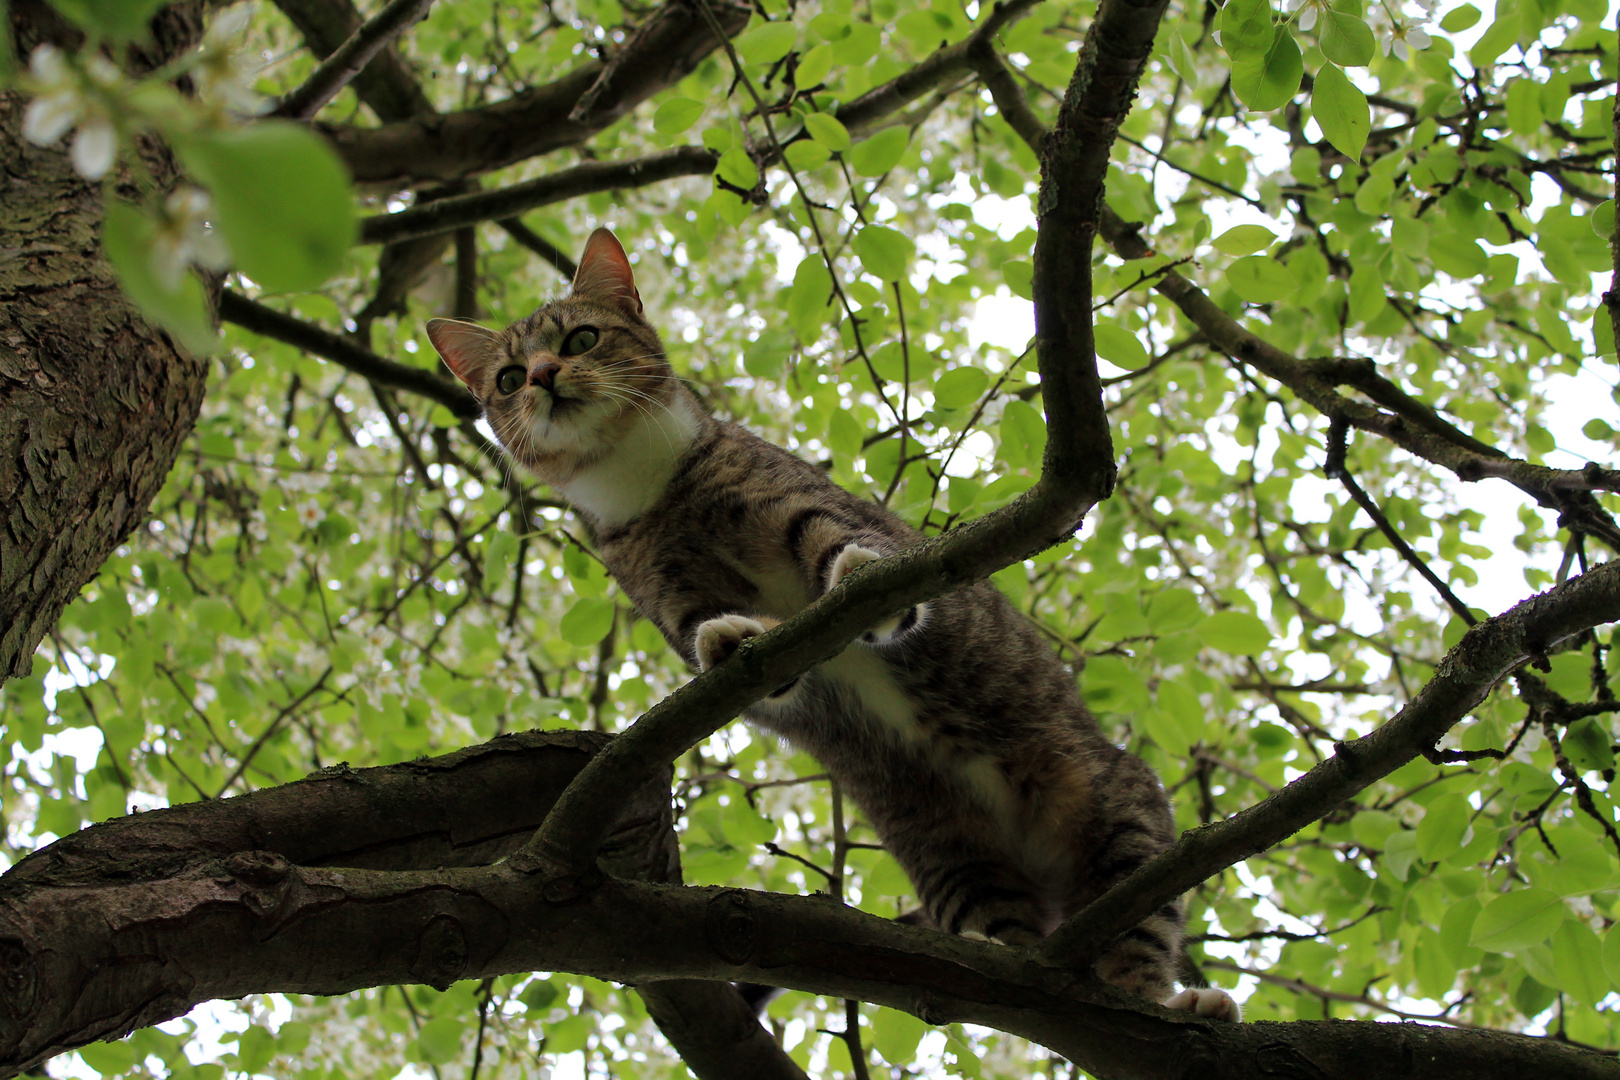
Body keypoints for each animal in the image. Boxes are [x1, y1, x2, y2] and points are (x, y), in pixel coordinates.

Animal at [427, 228, 1237, 1023]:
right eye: (507, 379)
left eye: (582, 337)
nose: (541, 375)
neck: (644, 481)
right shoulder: (661, 588)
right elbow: (713, 636)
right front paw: (730, 640)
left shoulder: (787, 498)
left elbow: (829, 535)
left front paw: (859, 579)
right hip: (954, 863)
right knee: (1009, 934)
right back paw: (1003, 958)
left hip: (1116, 809)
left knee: (1136, 937)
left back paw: (1170, 1000)